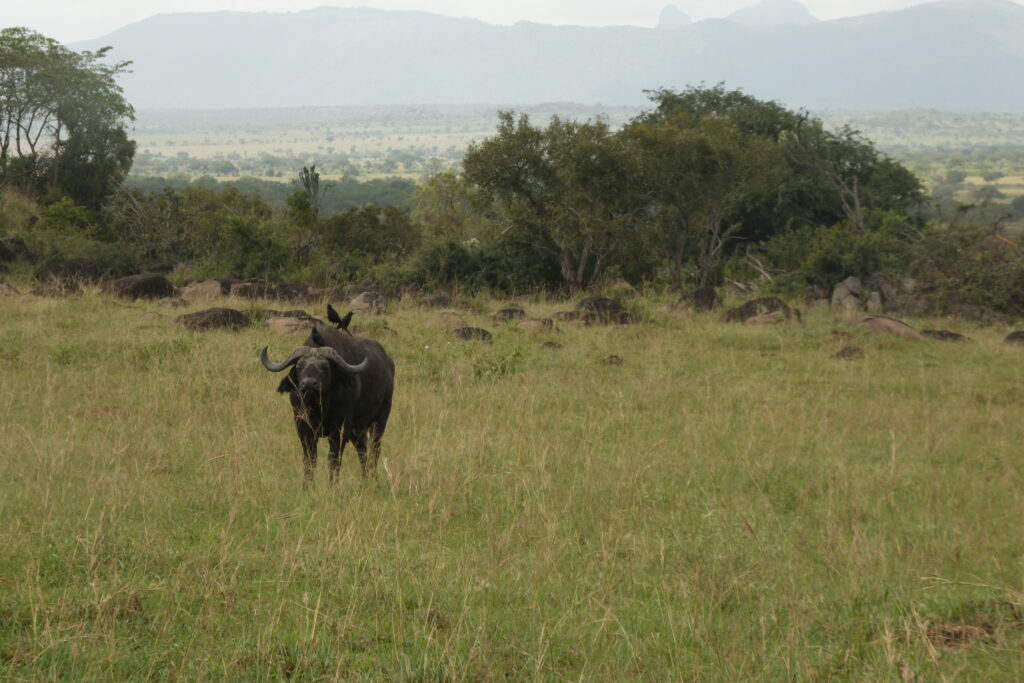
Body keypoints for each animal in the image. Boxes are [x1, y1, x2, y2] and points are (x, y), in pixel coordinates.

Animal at [260, 320, 394, 488]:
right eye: (299, 366)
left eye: (325, 367)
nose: (308, 383)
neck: (318, 407)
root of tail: (388, 363)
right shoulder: (302, 427)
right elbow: (309, 459)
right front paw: (307, 486)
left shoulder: (339, 428)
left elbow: (334, 460)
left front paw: (333, 487)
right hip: (358, 429)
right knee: (363, 449)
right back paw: (365, 480)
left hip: (380, 419)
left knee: (374, 450)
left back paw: (373, 479)